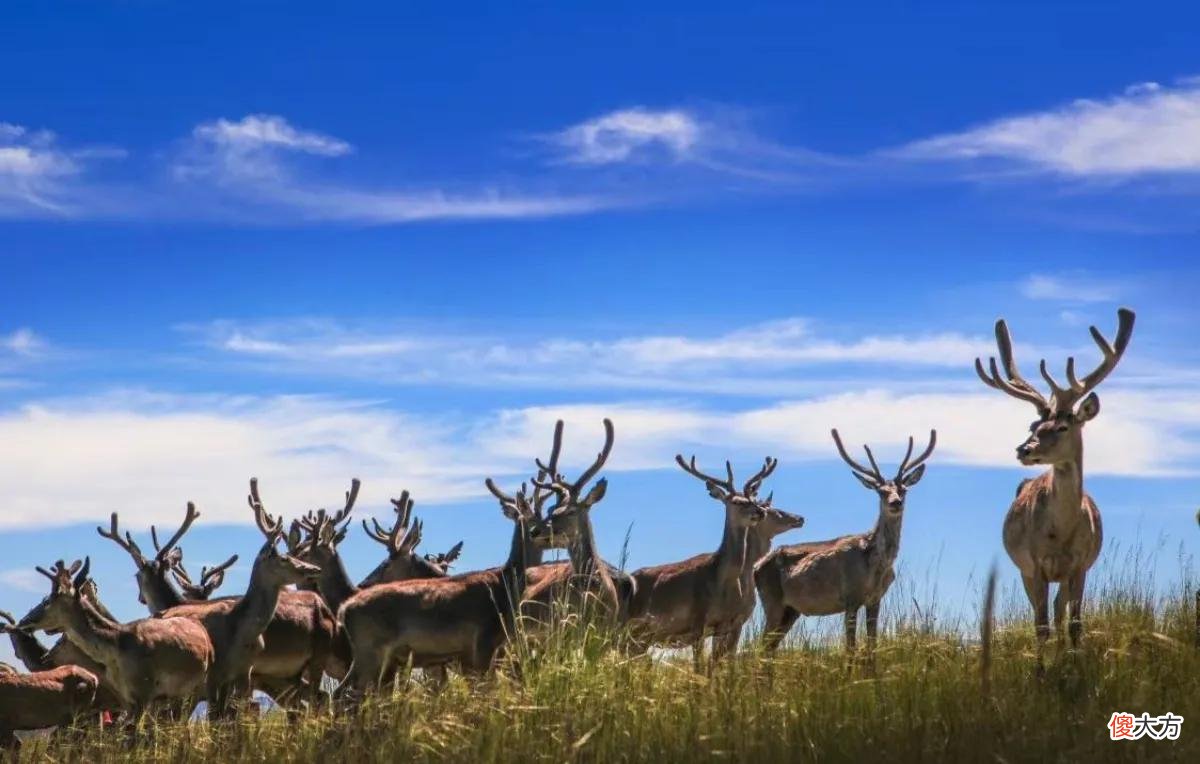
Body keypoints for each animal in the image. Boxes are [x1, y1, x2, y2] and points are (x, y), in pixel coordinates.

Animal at [18, 559, 213, 718]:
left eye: (48, 600)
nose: (24, 621)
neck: (116, 649)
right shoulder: (129, 697)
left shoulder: (144, 692)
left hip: (198, 686)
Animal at [623, 454, 778, 671]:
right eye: (737, 502)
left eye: (754, 499)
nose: (760, 512)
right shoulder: (697, 619)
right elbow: (700, 668)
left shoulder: (726, 625)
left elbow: (719, 667)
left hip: (642, 635)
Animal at [756, 429, 935, 656]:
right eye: (881, 491)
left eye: (903, 490)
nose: (896, 502)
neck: (876, 567)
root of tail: (756, 567)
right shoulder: (850, 597)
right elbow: (850, 649)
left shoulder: (875, 599)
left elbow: (872, 645)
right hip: (771, 600)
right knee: (759, 647)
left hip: (791, 610)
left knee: (769, 648)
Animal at [973, 307, 1135, 666]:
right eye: (1034, 425)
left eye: (1062, 426)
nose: (1024, 449)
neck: (1062, 533)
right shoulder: (1036, 564)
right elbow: (1040, 626)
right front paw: (1040, 672)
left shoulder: (1080, 564)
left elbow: (1075, 623)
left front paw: (1073, 664)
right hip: (1025, 570)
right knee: (1044, 614)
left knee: (1061, 611)